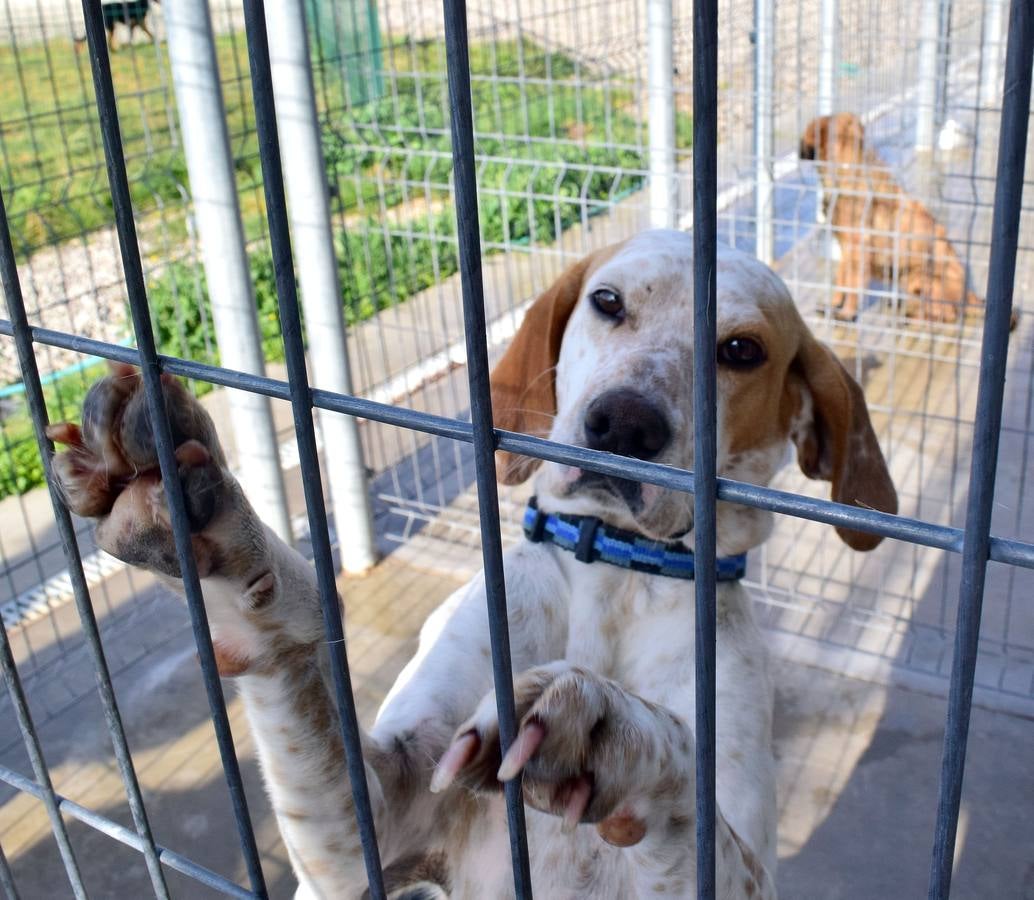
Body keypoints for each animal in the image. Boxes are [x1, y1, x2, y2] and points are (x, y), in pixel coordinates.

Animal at [52, 228, 897, 897]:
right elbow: (297, 672)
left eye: (742, 350)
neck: (614, 576)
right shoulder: (379, 828)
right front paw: (205, 516)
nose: (623, 423)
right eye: (609, 302)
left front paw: (614, 728)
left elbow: (683, 769)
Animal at [798, 111, 992, 324]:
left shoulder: (857, 249)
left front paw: (847, 312)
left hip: (921, 277)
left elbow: (852, 284)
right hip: (907, 278)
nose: (799, 150)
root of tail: (970, 296)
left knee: (947, 314)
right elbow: (841, 279)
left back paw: (913, 317)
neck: (847, 167)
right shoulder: (846, 248)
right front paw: (833, 304)